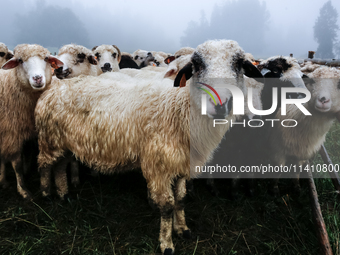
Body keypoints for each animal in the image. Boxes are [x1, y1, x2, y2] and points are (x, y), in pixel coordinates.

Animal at [0, 43, 63, 199]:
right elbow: (17, 165)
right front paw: (23, 190)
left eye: (46, 58)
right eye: (20, 60)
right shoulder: (11, 133)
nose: (37, 78)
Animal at [35, 38, 262, 254]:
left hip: (64, 142)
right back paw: (46, 195)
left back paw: (64, 194)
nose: (220, 104)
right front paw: (167, 244)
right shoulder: (159, 166)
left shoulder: (181, 164)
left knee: (60, 166)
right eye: (197, 64)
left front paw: (183, 229)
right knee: (45, 166)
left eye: (239, 64)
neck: (180, 109)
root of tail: (55, 86)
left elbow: (181, 199)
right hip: (49, 140)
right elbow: (167, 206)